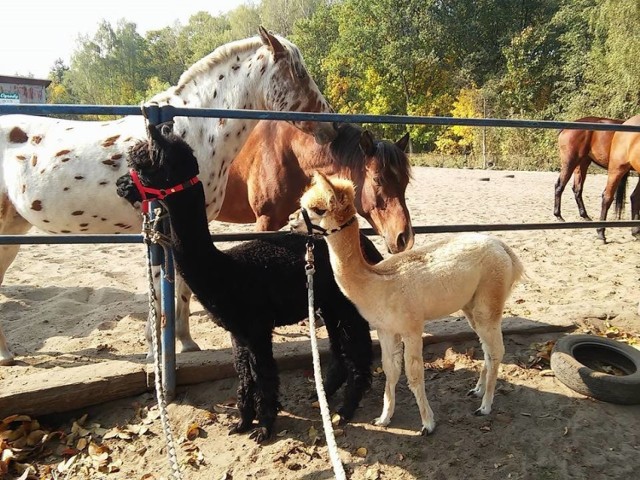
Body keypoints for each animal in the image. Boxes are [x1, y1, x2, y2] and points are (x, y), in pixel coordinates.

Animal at [0, 26, 338, 366]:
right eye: (298, 71)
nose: (330, 124)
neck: (190, 136)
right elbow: (162, 290)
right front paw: (155, 351)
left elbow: (184, 287)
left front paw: (185, 342)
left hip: (14, 230)